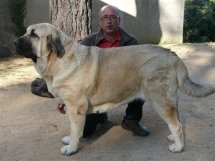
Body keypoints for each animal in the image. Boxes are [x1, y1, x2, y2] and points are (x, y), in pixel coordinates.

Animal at [14, 23, 214, 155]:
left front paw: (71, 148)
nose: (15, 42)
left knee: (176, 124)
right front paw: (70, 139)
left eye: (34, 35)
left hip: (160, 100)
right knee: (176, 121)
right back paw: (174, 139)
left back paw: (178, 147)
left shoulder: (76, 108)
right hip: (167, 99)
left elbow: (75, 129)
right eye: (27, 32)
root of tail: (172, 55)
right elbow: (72, 129)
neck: (57, 59)